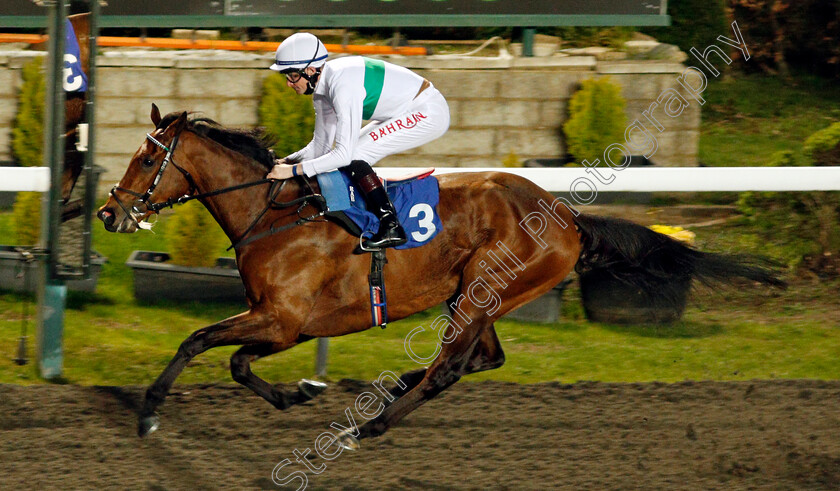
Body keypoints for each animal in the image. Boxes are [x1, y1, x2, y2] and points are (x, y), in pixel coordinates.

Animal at [98, 105, 788, 448]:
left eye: (146, 159)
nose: (109, 211)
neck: (276, 214)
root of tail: (566, 216)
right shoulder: (283, 323)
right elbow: (232, 359)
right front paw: (301, 392)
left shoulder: (285, 321)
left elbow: (208, 346)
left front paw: (150, 414)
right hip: (477, 296)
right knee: (480, 358)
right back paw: (388, 391)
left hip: (486, 289)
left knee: (453, 367)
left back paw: (374, 424)